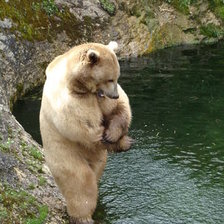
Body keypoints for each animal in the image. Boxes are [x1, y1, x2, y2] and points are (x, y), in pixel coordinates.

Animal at [39, 42, 132, 224]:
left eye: (117, 77)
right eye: (110, 78)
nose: (114, 94)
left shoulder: (100, 97)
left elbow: (120, 108)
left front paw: (114, 134)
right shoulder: (70, 102)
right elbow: (84, 127)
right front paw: (115, 139)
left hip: (99, 160)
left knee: (96, 171)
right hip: (63, 155)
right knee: (80, 182)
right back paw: (83, 217)